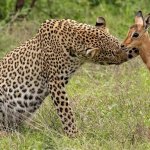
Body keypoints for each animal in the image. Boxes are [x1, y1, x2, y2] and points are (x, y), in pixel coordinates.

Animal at [0, 16, 139, 137]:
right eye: (112, 53)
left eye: (119, 44)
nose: (124, 54)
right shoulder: (55, 82)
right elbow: (66, 112)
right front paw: (75, 135)